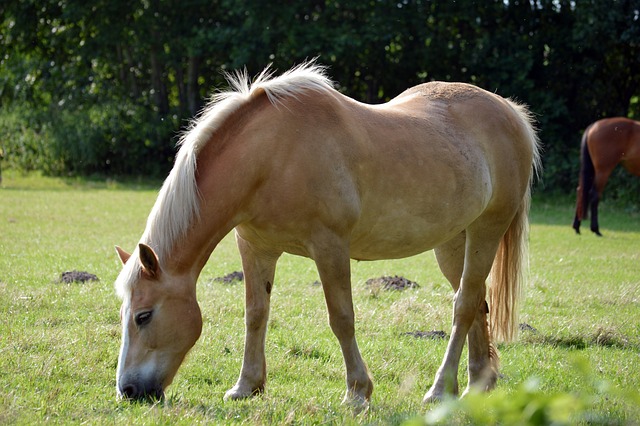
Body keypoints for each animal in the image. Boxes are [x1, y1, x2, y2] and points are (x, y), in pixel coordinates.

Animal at [111, 63, 540, 406]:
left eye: (143, 316)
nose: (128, 391)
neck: (271, 155)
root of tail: (510, 111)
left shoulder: (330, 247)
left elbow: (341, 318)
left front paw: (357, 392)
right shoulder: (255, 247)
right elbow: (255, 314)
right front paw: (246, 386)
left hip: (487, 230)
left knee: (464, 305)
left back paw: (439, 389)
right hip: (453, 242)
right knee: (476, 302)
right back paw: (478, 384)